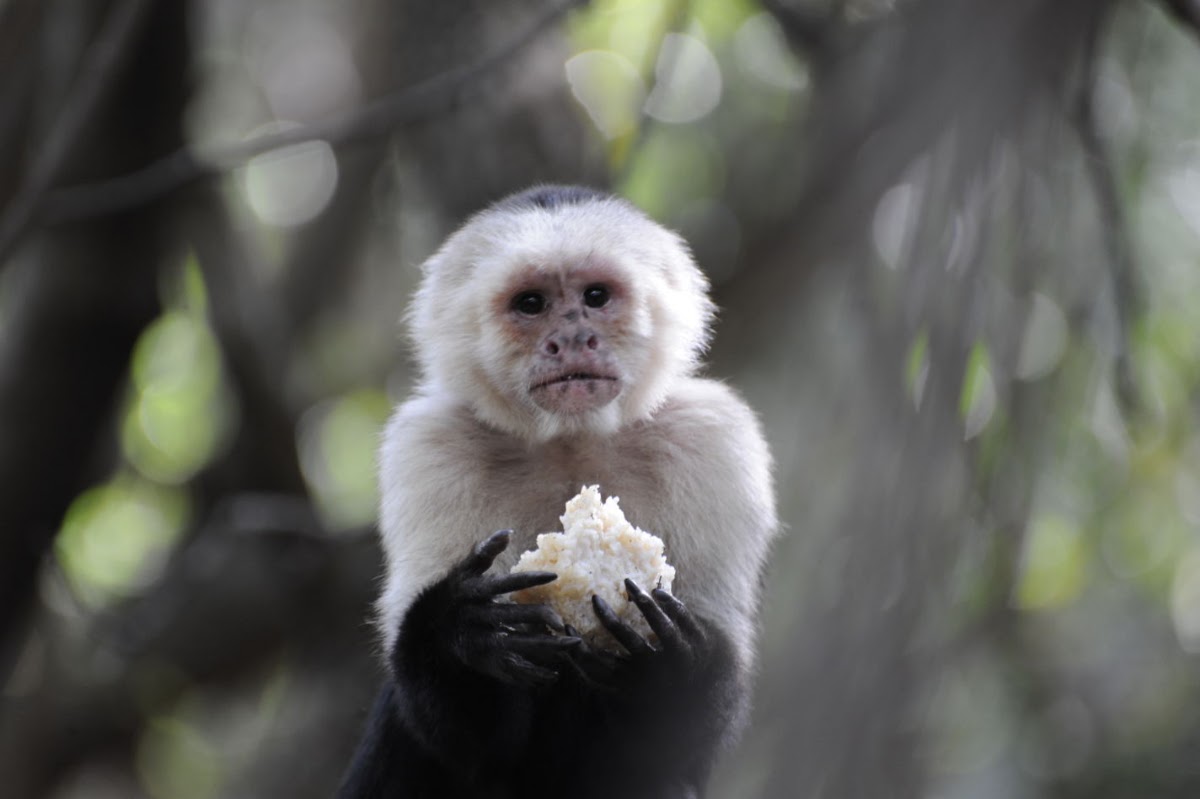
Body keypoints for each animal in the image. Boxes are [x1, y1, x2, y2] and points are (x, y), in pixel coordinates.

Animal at [337, 185, 778, 799]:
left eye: (595, 296)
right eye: (531, 304)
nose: (571, 337)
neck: (573, 440)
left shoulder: (713, 440)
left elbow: (688, 729)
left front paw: (672, 665)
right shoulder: (429, 447)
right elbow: (456, 733)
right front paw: (461, 632)